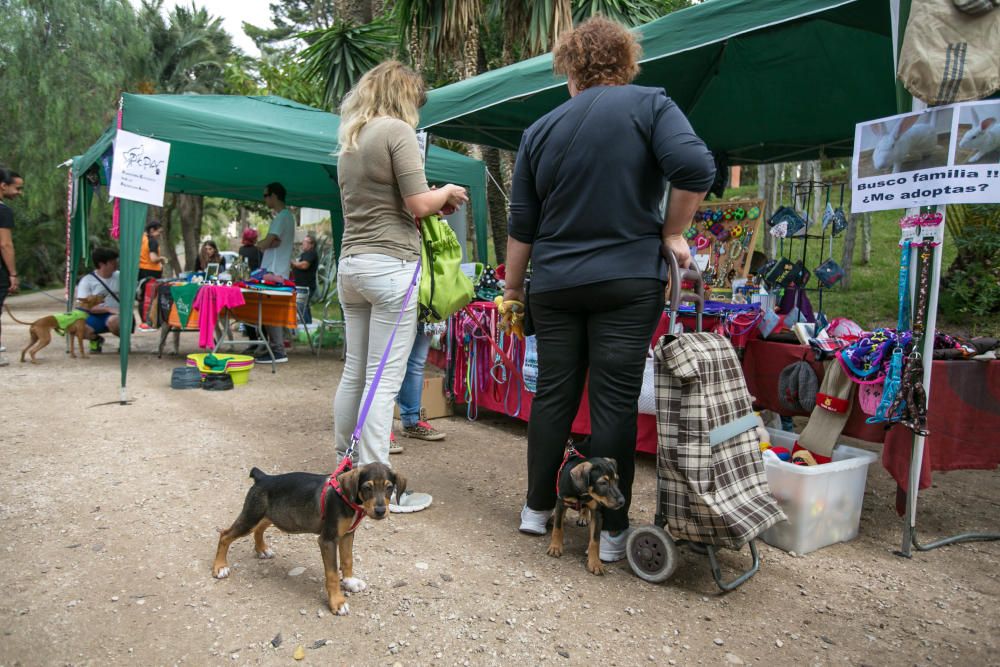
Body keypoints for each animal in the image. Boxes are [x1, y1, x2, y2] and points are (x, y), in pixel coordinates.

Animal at [213, 464, 404, 616]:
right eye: (367, 487)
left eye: (389, 488)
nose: (380, 511)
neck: (348, 498)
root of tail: (264, 477)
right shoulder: (327, 540)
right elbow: (332, 574)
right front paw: (337, 602)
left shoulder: (347, 535)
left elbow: (348, 560)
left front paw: (350, 582)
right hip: (251, 516)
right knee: (225, 535)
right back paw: (220, 567)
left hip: (270, 515)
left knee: (258, 529)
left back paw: (262, 549)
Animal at [548, 440, 624, 576]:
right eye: (603, 483)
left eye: (617, 480)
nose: (622, 501)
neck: (583, 493)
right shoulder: (561, 502)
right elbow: (558, 527)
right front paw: (555, 547)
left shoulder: (597, 513)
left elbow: (595, 541)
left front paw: (595, 563)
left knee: (584, 508)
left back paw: (583, 516)